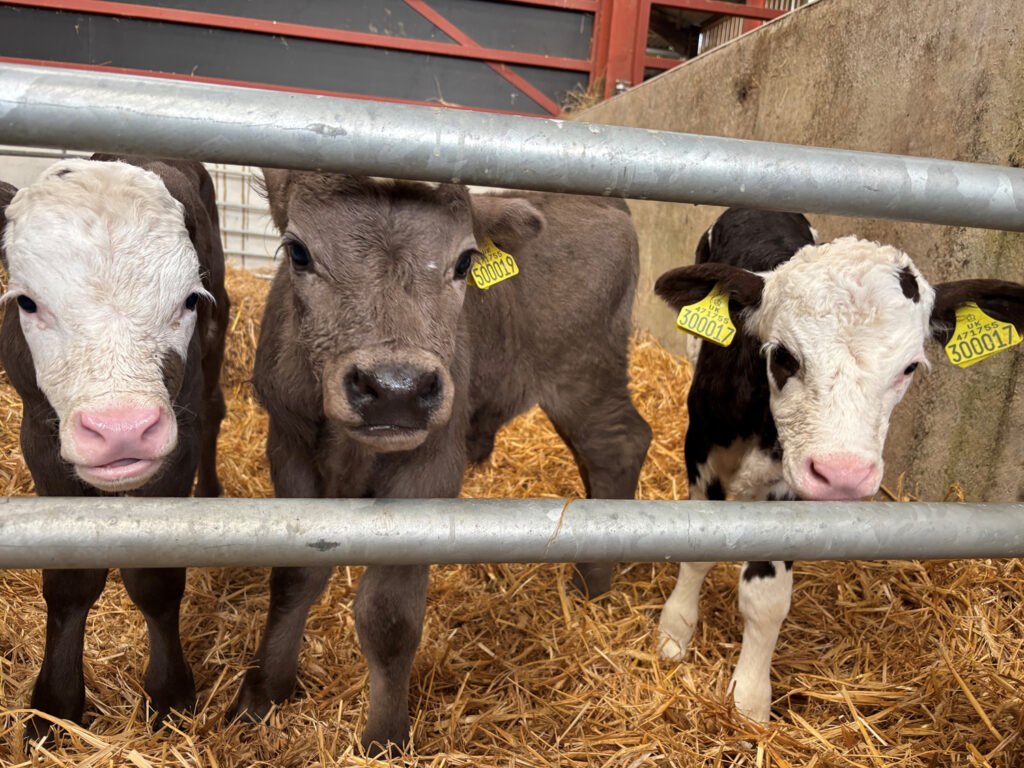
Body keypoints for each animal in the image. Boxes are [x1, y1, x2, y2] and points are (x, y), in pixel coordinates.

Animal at [0, 155, 229, 739]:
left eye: (188, 299)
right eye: (27, 302)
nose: (121, 427)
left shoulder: (178, 443)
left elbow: (154, 578)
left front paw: (170, 695)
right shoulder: (40, 438)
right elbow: (70, 578)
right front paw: (54, 705)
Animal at [230, 172, 652, 754]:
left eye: (465, 262)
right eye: (298, 252)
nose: (395, 390)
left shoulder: (428, 470)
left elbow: (388, 616)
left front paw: (384, 739)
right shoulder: (289, 448)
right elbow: (295, 575)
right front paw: (261, 694)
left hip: (583, 376)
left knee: (619, 445)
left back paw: (590, 583)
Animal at [653, 208, 1024, 722]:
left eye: (909, 367)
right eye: (783, 355)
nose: (844, 474)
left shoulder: (790, 490)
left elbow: (767, 597)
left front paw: (749, 701)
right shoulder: (700, 447)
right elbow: (694, 552)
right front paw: (675, 631)